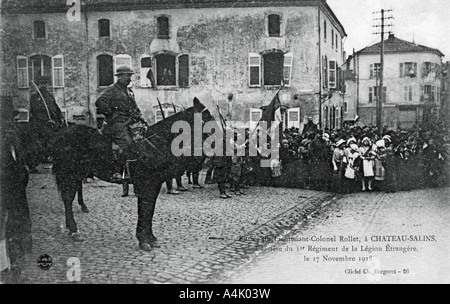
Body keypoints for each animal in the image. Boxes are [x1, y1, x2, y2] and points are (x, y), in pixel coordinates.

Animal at [51, 98, 216, 252]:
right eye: (207, 117)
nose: (219, 140)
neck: (156, 144)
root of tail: (62, 134)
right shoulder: (145, 184)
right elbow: (144, 209)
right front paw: (143, 240)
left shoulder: (154, 185)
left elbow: (149, 210)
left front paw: (150, 238)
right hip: (70, 174)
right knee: (67, 199)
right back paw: (74, 230)